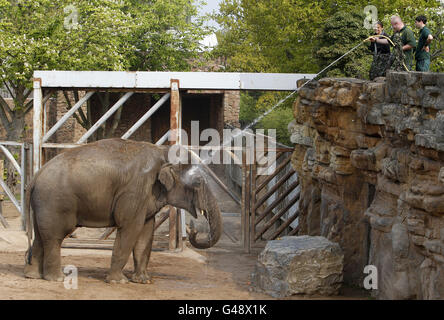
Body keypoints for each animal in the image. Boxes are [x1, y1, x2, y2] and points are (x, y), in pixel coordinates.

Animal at [23, 139, 221, 284]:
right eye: (198, 182)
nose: (192, 229)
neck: (163, 152)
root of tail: (35, 177)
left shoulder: (146, 197)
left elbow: (145, 233)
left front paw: (143, 281)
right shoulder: (135, 191)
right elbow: (129, 229)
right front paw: (119, 282)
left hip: (42, 204)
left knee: (40, 236)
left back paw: (33, 276)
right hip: (55, 203)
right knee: (54, 237)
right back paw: (57, 278)